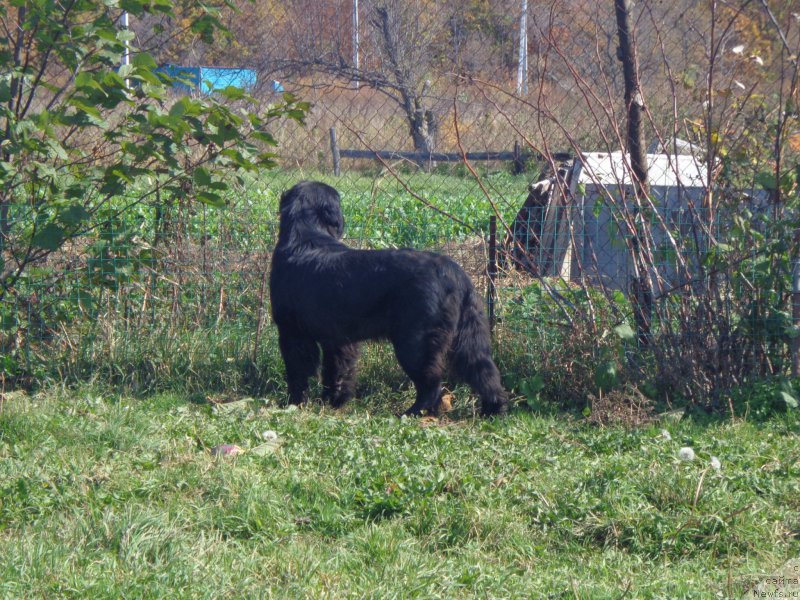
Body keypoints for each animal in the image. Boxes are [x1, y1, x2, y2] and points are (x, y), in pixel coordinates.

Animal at [268, 180, 506, 418]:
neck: (304, 234)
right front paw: (334, 402)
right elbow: (337, 371)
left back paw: (412, 412)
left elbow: (298, 371)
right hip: (468, 339)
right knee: (484, 371)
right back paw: (492, 409)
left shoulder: (292, 333)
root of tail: (455, 271)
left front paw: (295, 402)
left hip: (415, 343)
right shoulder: (337, 339)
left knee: (431, 384)